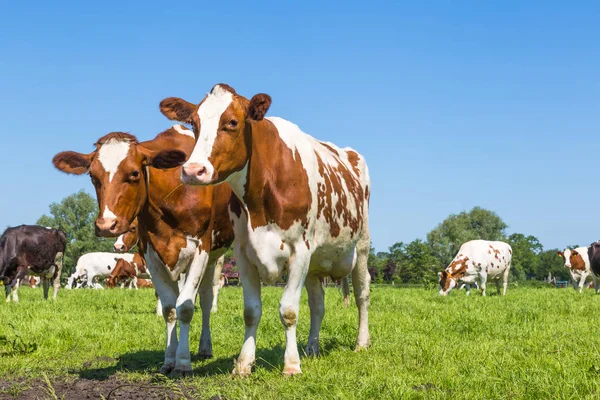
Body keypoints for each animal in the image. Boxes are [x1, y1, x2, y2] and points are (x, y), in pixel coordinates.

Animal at [52, 125, 234, 376]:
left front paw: (183, 363)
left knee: (207, 299)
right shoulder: (151, 254)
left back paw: (205, 347)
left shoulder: (200, 249)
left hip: (216, 257)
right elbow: (169, 308)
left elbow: (186, 307)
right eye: (92, 176)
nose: (106, 225)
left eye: (134, 173)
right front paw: (169, 359)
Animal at [155, 83, 370, 376]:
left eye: (232, 122)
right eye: (194, 124)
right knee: (317, 304)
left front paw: (291, 365)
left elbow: (289, 310)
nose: (192, 170)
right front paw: (244, 364)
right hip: (315, 263)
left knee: (362, 294)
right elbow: (251, 311)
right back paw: (312, 348)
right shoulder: (245, 253)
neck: (259, 197)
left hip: (361, 248)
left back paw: (361, 343)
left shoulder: (299, 251)